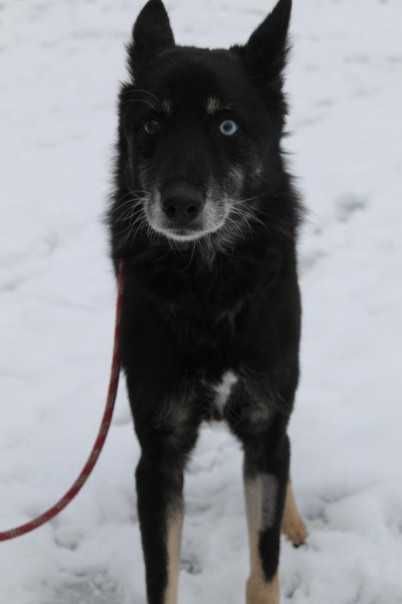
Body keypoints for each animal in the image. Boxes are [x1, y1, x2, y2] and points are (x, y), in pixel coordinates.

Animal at [107, 0, 308, 600]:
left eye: (227, 125)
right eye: (152, 124)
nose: (179, 204)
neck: (208, 284)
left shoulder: (265, 422)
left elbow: (264, 567)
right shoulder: (158, 454)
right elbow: (162, 576)